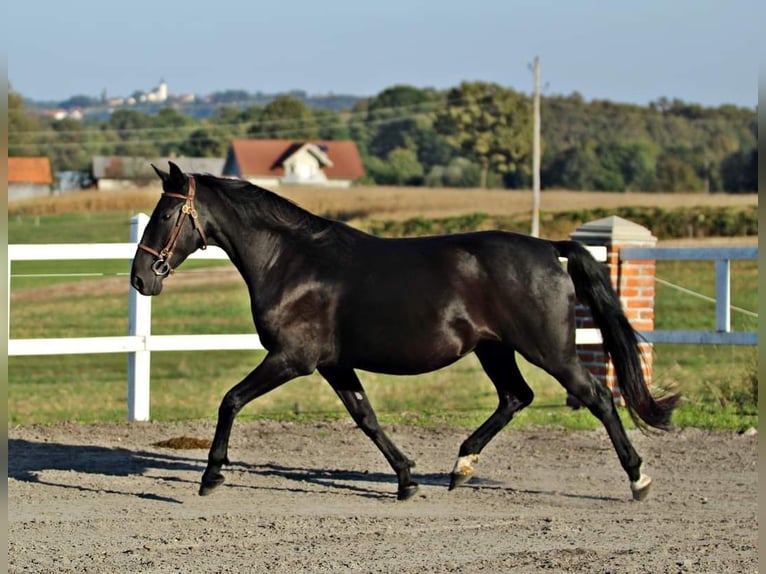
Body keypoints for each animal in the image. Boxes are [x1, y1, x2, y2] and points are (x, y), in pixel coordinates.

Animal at [130, 163, 680, 504]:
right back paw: (460, 467)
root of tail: (549, 247)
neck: (291, 261)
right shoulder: (334, 364)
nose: (140, 278)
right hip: (494, 349)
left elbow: (230, 400)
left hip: (549, 350)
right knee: (515, 397)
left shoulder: (292, 359)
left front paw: (211, 475)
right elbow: (366, 418)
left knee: (597, 398)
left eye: (165, 214)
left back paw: (639, 478)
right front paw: (406, 479)